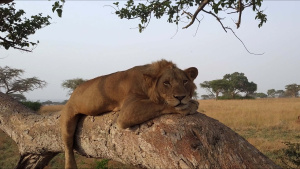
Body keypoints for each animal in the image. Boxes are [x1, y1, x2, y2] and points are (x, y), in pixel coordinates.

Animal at [60, 59, 199, 168]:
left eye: (185, 81)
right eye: (166, 83)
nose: (181, 97)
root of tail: (74, 90)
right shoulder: (128, 110)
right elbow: (159, 104)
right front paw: (190, 105)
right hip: (68, 116)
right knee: (68, 146)